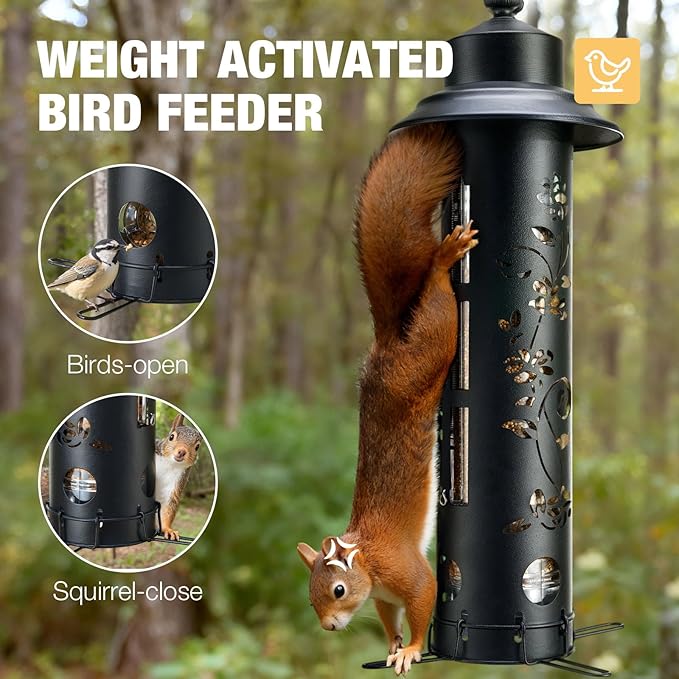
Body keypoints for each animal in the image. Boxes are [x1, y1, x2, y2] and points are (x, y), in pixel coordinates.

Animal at [297, 123, 477, 675]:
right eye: (310, 596)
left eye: (337, 589)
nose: (329, 628)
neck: (371, 561)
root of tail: (387, 343)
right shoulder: (382, 596)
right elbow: (388, 615)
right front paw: (393, 644)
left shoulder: (407, 574)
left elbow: (424, 597)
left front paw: (414, 649)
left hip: (433, 348)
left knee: (439, 303)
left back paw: (444, 260)